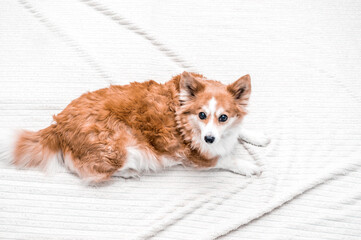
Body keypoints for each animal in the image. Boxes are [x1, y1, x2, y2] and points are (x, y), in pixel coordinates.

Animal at [2, 72, 268, 183]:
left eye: (223, 117)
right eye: (202, 115)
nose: (209, 139)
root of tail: (58, 125)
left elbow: (240, 129)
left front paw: (258, 137)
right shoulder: (198, 157)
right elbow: (227, 159)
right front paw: (249, 166)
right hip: (120, 148)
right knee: (88, 172)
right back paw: (128, 173)